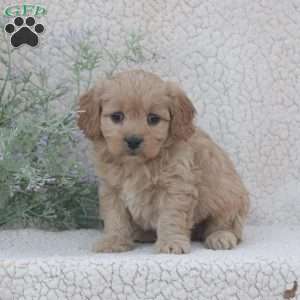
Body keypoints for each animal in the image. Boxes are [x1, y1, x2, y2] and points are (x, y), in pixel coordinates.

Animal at [77, 69, 248, 253]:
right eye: (117, 116)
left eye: (153, 119)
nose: (133, 140)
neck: (136, 165)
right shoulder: (111, 189)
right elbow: (115, 218)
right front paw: (114, 241)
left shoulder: (176, 187)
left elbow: (171, 217)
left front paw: (171, 243)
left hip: (228, 197)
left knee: (227, 224)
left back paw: (220, 236)